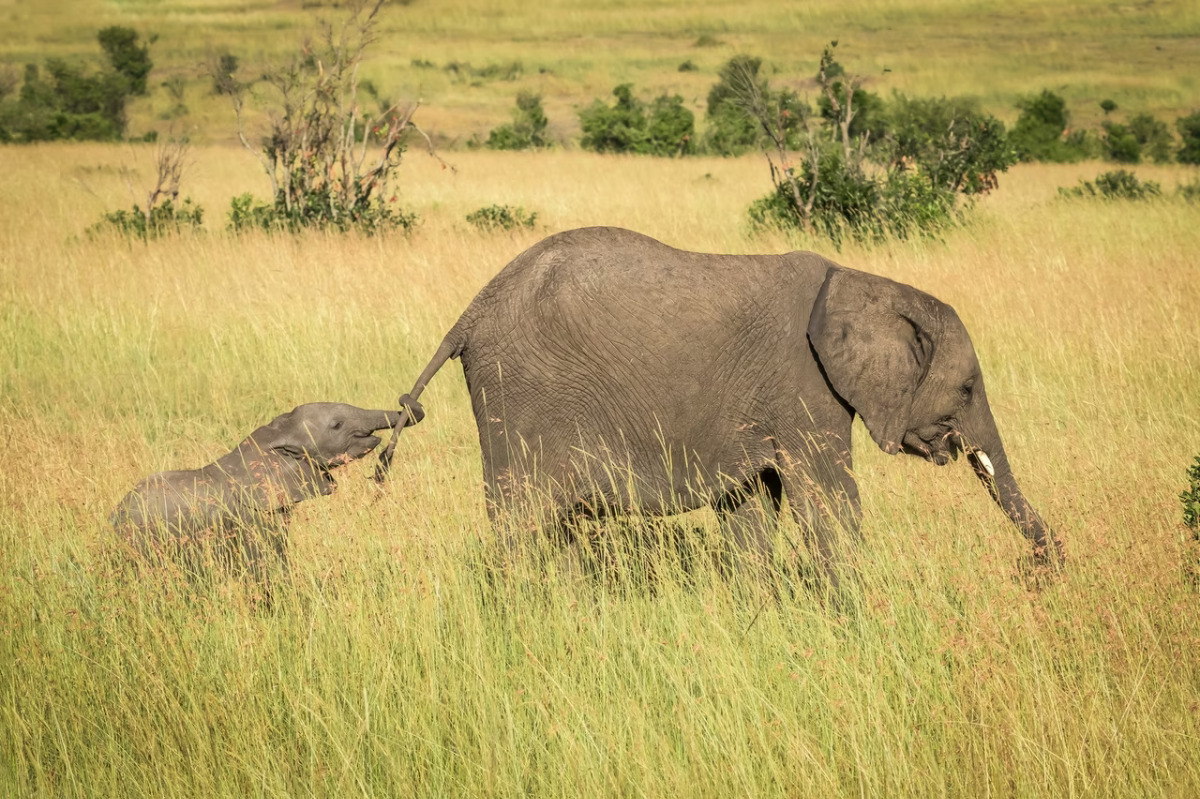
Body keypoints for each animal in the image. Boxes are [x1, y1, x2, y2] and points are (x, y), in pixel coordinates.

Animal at [377, 226, 1062, 586]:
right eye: (967, 388)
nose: (1044, 564)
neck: (861, 282)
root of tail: (469, 314)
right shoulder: (804, 385)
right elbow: (829, 502)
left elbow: (752, 507)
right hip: (521, 396)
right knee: (523, 521)